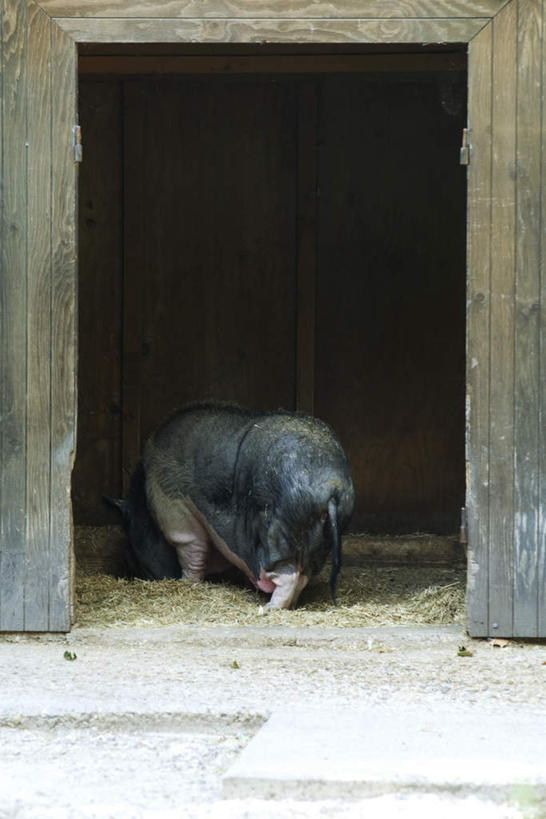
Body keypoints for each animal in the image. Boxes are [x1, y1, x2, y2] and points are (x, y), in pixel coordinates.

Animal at [112, 404, 354, 608]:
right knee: (303, 575)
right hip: (319, 542)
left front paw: (185, 582)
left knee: (288, 575)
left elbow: (191, 550)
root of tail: (330, 488)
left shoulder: (175, 509)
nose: (127, 569)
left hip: (278, 532)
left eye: (130, 538)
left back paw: (267, 608)